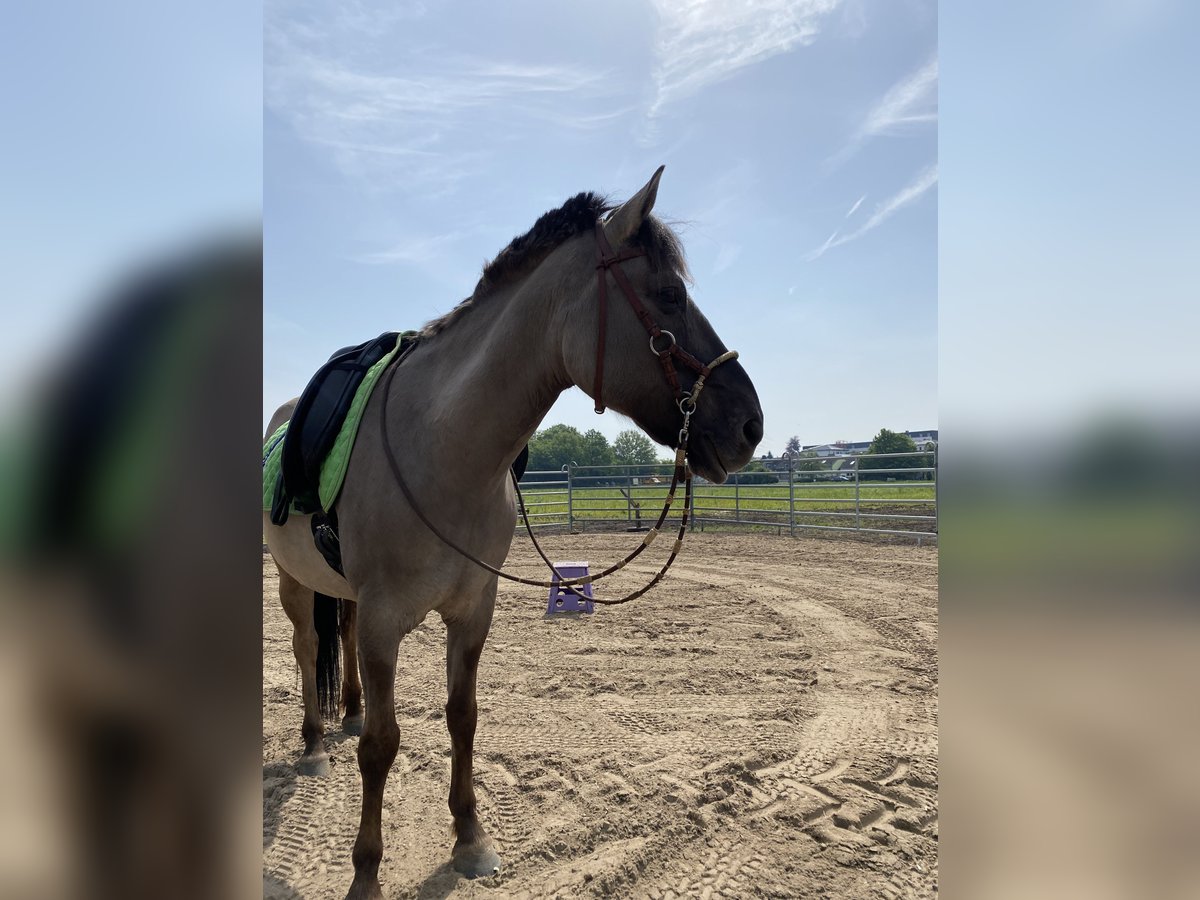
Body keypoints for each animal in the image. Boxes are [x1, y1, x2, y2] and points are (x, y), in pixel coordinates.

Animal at [266, 165, 763, 897]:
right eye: (669, 296)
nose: (751, 425)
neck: (444, 446)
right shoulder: (387, 620)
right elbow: (382, 746)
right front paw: (366, 873)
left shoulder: (473, 610)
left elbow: (462, 718)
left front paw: (470, 839)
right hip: (292, 580)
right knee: (306, 648)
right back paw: (310, 743)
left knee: (343, 640)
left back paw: (348, 711)